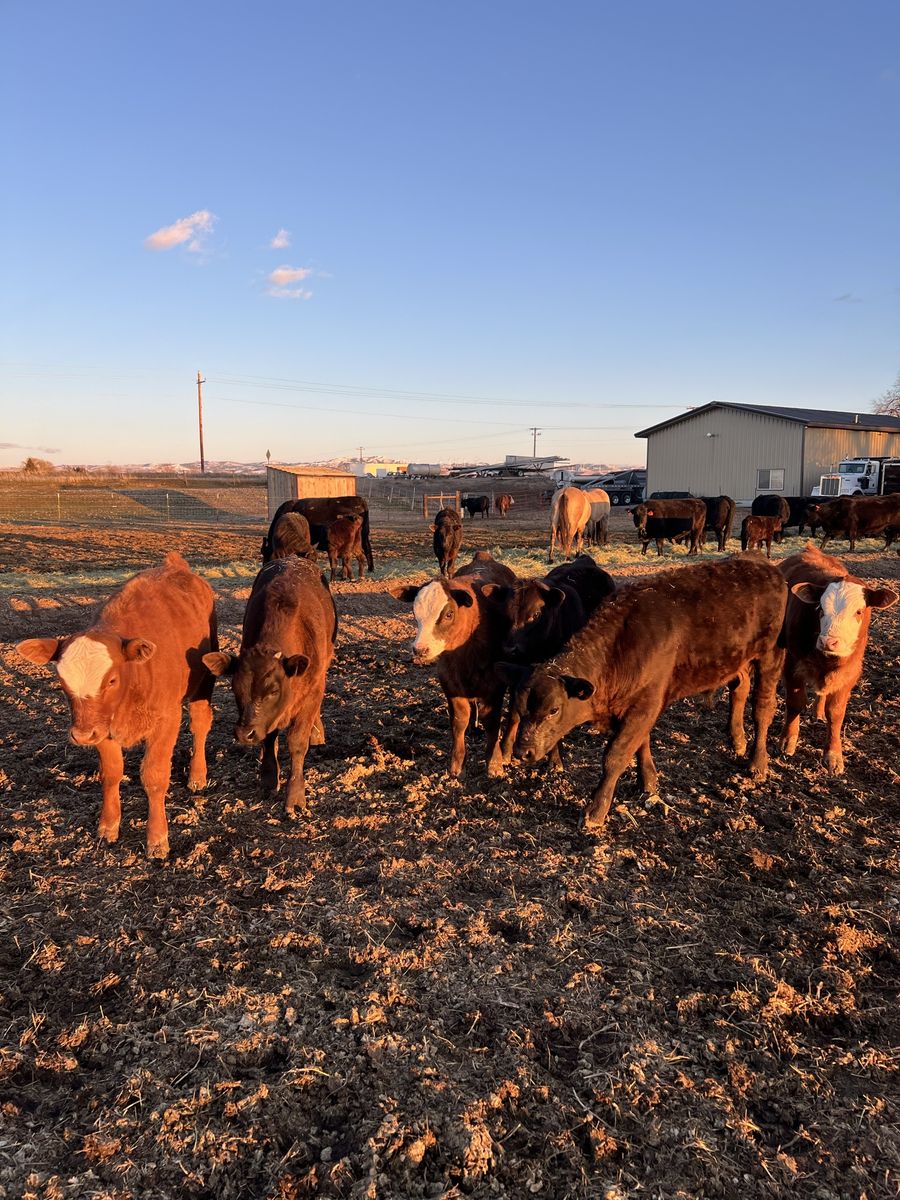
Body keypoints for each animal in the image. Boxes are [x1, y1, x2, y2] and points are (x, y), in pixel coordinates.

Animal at [15, 552, 217, 858]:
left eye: (111, 680)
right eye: (61, 680)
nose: (81, 736)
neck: (134, 677)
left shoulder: (166, 720)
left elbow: (155, 776)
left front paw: (157, 839)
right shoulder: (100, 727)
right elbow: (111, 774)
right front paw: (108, 826)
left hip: (203, 683)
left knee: (200, 725)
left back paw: (197, 775)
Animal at [203, 557, 337, 815]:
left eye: (274, 691)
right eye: (235, 688)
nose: (244, 734)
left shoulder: (313, 690)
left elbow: (297, 742)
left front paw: (295, 796)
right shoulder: (266, 719)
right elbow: (268, 737)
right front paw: (268, 777)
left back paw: (317, 733)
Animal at [390, 551, 516, 777]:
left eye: (448, 614)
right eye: (414, 613)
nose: (420, 650)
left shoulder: (494, 686)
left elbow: (492, 722)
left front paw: (494, 763)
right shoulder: (450, 682)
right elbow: (459, 721)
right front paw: (456, 765)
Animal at [499, 557, 787, 832]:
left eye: (554, 710)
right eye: (520, 708)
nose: (523, 752)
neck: (622, 644)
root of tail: (767, 570)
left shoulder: (645, 705)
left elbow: (615, 756)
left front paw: (595, 812)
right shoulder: (638, 704)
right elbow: (641, 744)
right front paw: (648, 782)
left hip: (771, 658)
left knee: (762, 710)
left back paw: (758, 763)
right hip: (738, 661)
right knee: (740, 688)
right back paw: (737, 740)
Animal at [779, 544, 897, 774]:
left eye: (859, 611)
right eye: (820, 609)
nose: (829, 641)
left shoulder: (849, 673)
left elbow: (835, 713)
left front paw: (833, 755)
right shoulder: (792, 664)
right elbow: (795, 703)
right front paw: (788, 740)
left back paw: (818, 713)